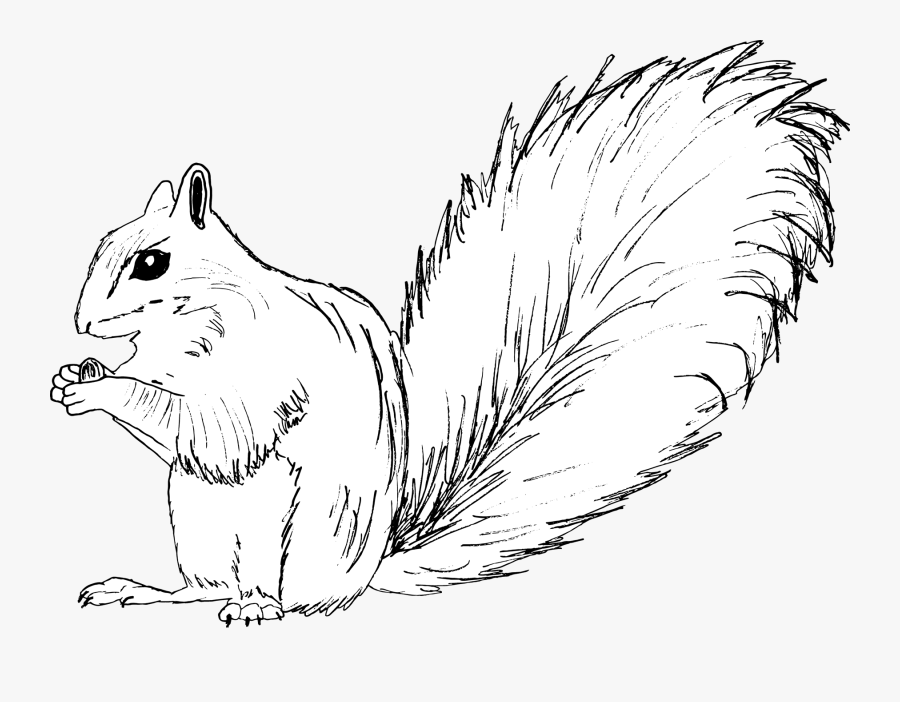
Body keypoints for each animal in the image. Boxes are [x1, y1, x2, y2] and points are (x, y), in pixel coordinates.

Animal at [50, 41, 845, 625]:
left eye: (151, 262)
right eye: (102, 246)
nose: (81, 323)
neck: (188, 323)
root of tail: (368, 567)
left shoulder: (260, 366)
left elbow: (221, 434)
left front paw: (98, 389)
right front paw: (82, 371)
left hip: (301, 532)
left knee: (296, 599)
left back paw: (264, 608)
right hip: (199, 519)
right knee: (207, 583)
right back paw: (150, 592)